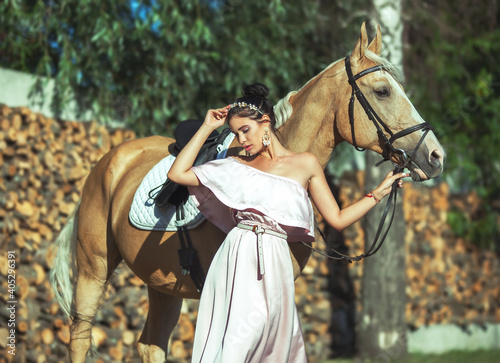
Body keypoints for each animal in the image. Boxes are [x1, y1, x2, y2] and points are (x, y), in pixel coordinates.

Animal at [50, 23, 446, 363]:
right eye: (383, 91)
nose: (435, 156)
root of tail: (108, 163)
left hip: (162, 286)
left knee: (151, 345)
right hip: (94, 269)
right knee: (80, 336)